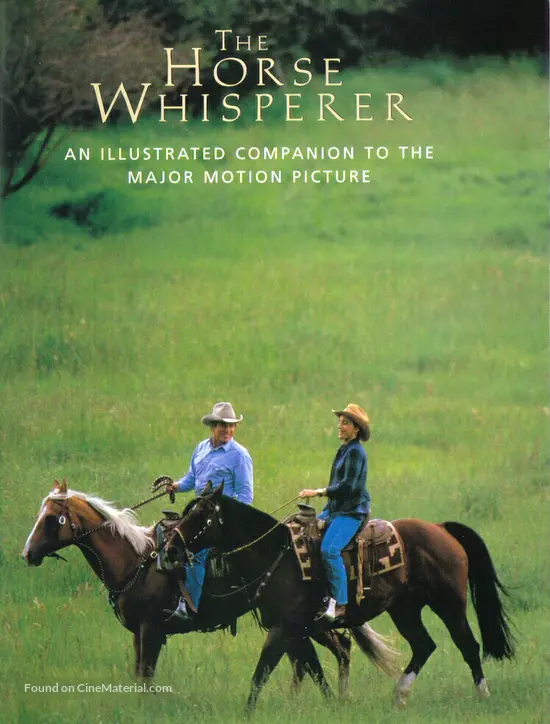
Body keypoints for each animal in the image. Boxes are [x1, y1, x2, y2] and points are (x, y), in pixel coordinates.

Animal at [22, 479, 387, 697]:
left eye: (51, 518)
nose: (28, 553)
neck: (136, 561)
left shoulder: (151, 629)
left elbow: (146, 676)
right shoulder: (138, 632)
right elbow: (139, 675)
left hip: (306, 623)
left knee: (337, 649)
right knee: (320, 656)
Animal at [164, 482, 516, 711]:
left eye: (202, 515)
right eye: (186, 511)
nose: (171, 549)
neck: (278, 555)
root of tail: (441, 529)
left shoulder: (287, 629)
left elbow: (270, 671)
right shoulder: (294, 631)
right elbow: (303, 670)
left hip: (449, 605)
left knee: (468, 645)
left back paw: (483, 695)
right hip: (405, 610)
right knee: (424, 645)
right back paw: (400, 694)